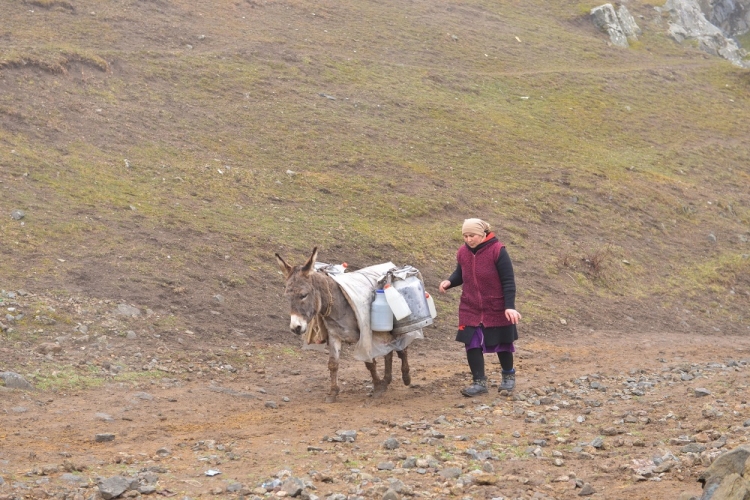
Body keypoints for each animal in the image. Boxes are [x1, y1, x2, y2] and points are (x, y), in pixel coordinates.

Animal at [275, 247, 411, 403]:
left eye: (303, 295)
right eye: (287, 297)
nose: (295, 328)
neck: (337, 305)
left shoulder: (364, 336)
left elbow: (370, 363)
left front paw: (377, 387)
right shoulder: (334, 335)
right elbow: (333, 364)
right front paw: (333, 393)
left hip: (395, 328)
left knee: (401, 349)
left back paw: (406, 377)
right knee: (389, 351)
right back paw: (387, 379)